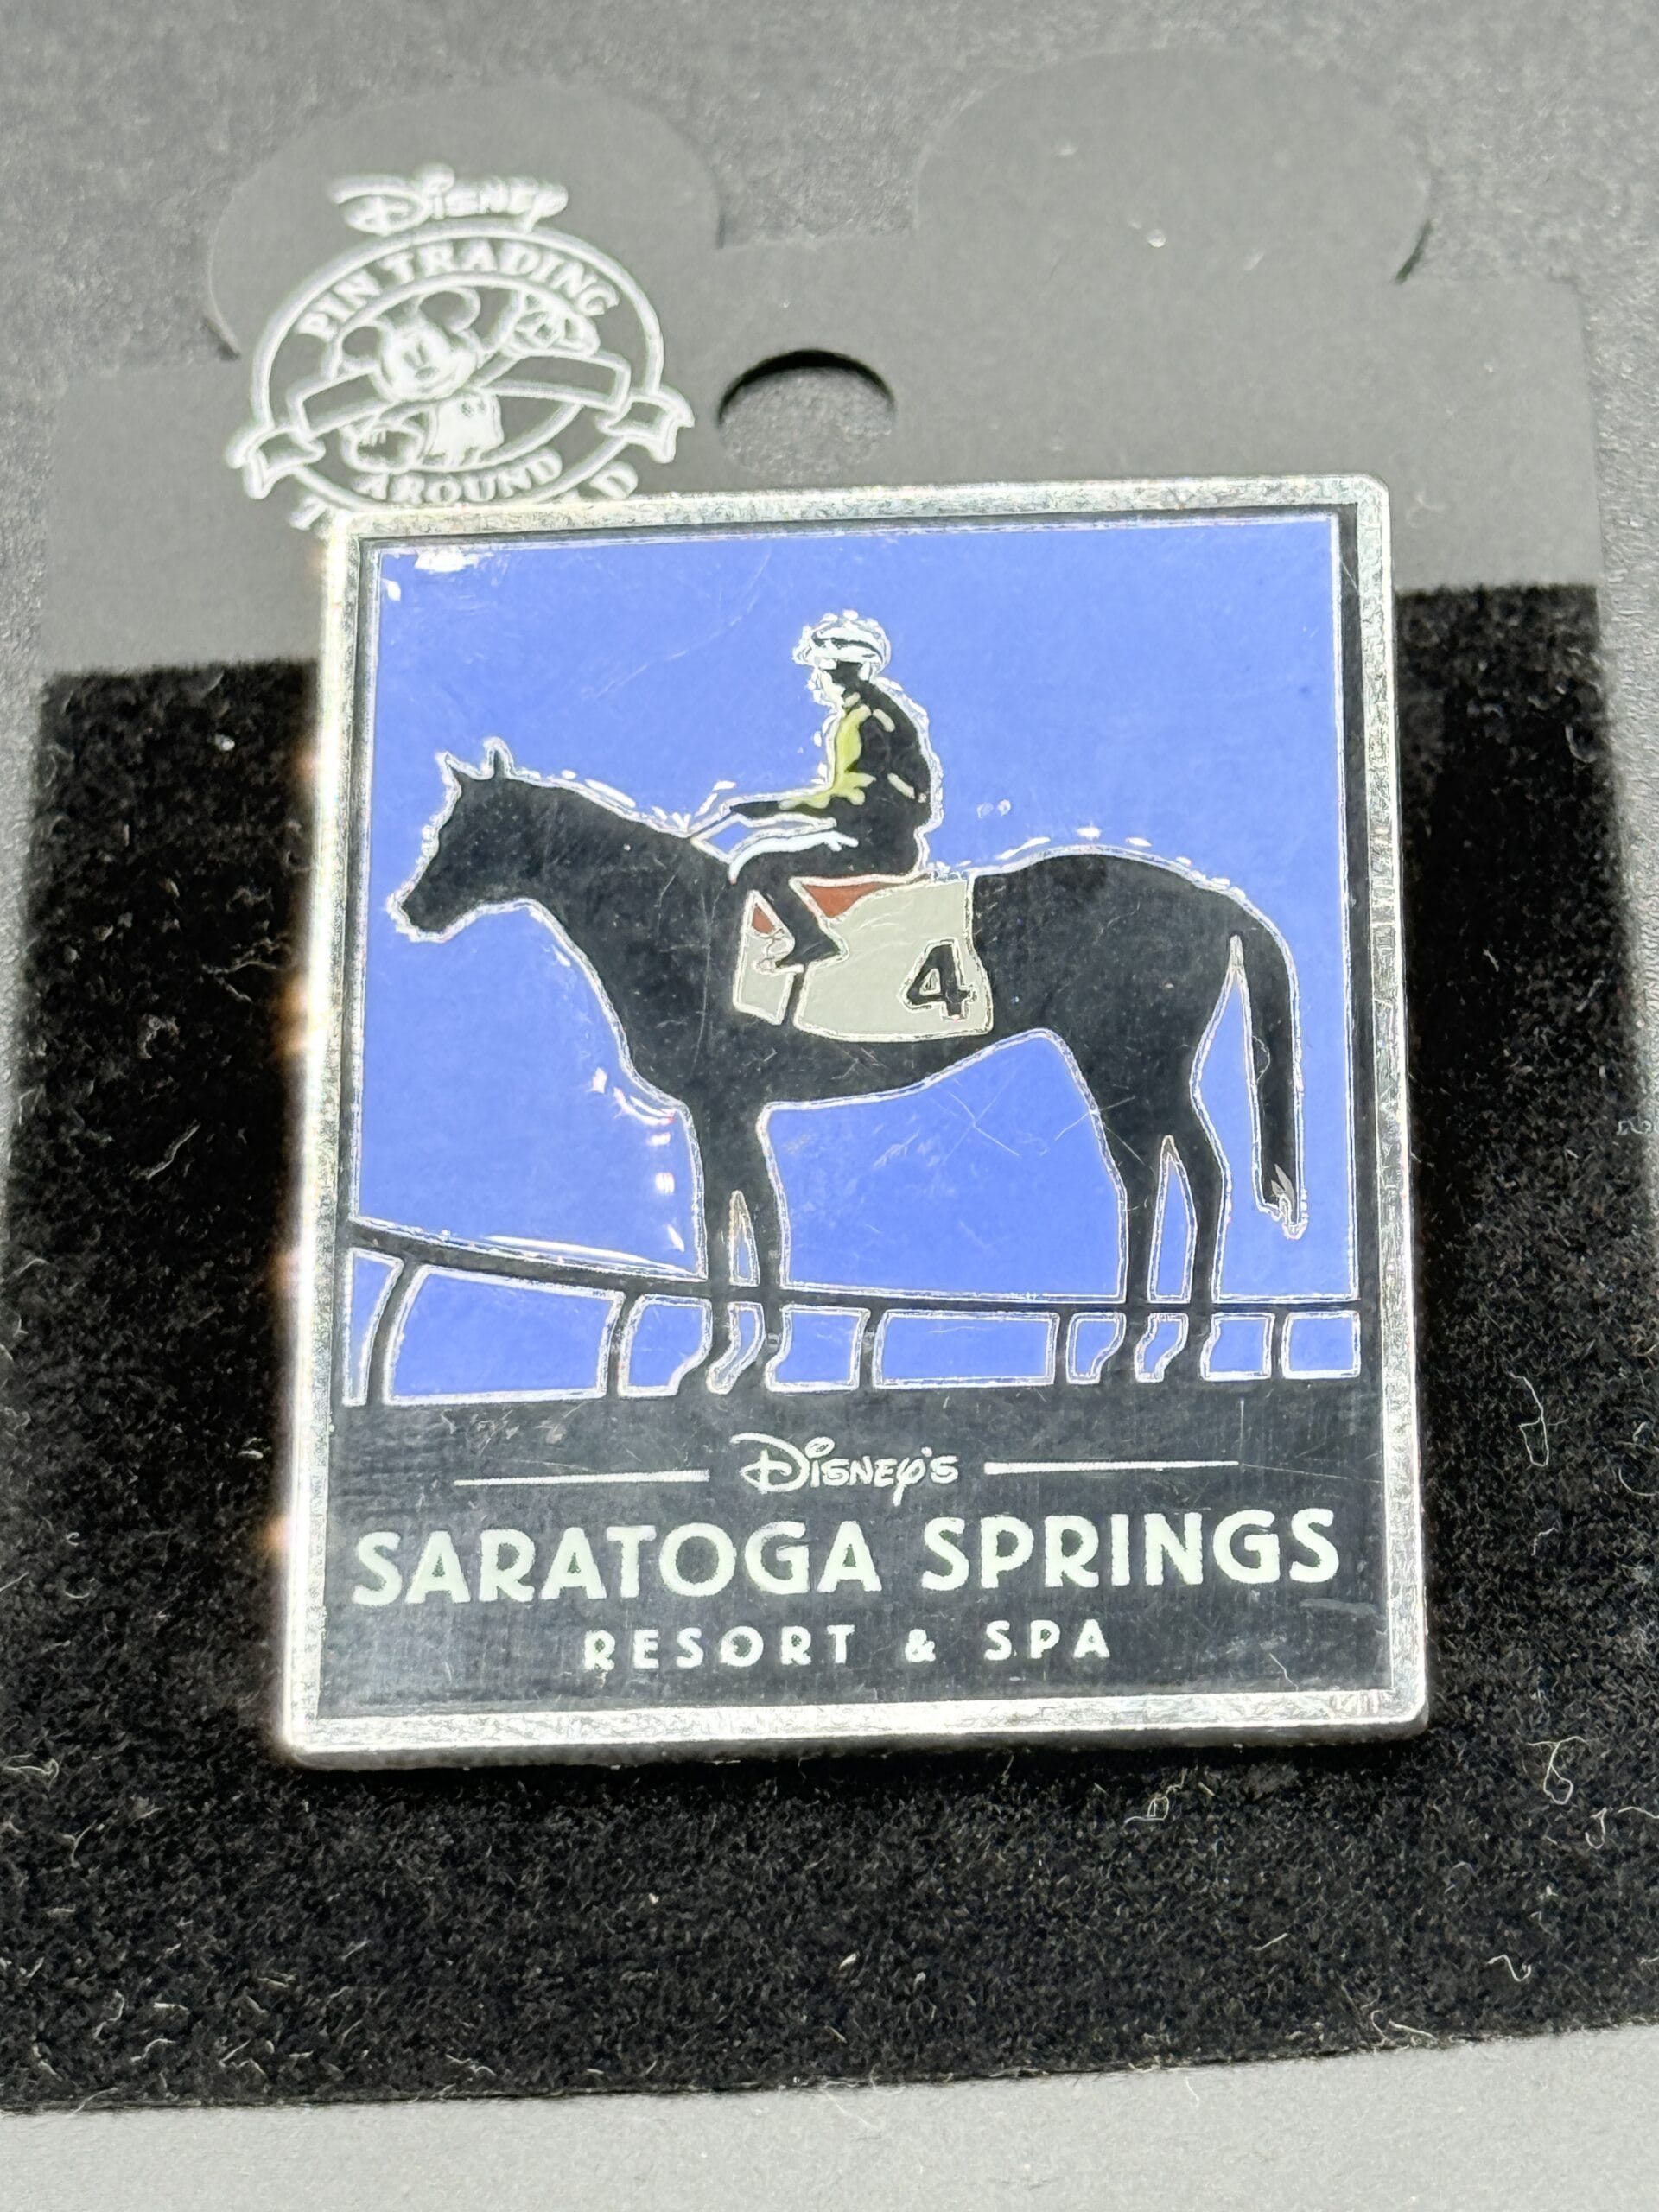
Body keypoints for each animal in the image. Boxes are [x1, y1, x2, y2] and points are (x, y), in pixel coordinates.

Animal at [394, 743, 1305, 1385]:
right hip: (1135, 1072)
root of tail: (1210, 900)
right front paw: (735, 1360)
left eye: (470, 832)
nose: (412, 909)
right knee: (1167, 1176)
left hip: (1130, 1066)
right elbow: (744, 1214)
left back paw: (1161, 1351)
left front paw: (737, 1362)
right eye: (446, 829)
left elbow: (738, 1218)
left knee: (1179, 1177)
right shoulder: (731, 1110)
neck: (682, 921)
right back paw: (1153, 1348)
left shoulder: (723, 1105)